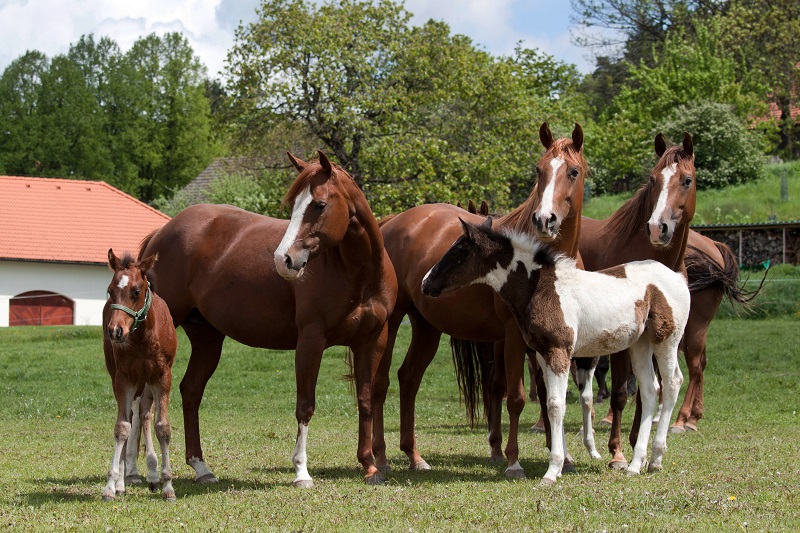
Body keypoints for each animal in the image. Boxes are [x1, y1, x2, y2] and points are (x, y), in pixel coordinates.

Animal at [102, 249, 177, 501]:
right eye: (110, 291)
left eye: (136, 292)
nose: (115, 331)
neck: (143, 337)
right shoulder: (124, 378)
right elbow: (122, 427)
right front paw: (111, 485)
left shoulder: (162, 376)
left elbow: (162, 427)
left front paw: (168, 486)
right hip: (130, 380)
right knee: (134, 416)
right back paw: (123, 481)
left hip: (147, 382)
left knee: (145, 414)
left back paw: (153, 475)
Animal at [138, 151, 397, 487]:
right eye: (292, 204)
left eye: (319, 205)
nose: (283, 260)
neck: (359, 274)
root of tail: (160, 234)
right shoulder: (311, 341)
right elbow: (305, 406)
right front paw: (301, 471)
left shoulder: (371, 341)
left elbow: (365, 401)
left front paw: (369, 466)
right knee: (143, 400)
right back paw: (138, 472)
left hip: (207, 339)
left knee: (190, 391)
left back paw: (200, 467)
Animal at [374, 123, 586, 479]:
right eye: (539, 170)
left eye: (573, 171)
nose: (545, 220)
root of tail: (392, 223)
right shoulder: (513, 337)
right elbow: (515, 397)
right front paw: (513, 461)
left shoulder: (550, 338)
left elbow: (548, 395)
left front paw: (563, 457)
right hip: (392, 322)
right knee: (380, 380)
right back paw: (380, 457)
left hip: (427, 327)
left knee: (409, 378)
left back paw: (415, 457)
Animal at [422, 218, 688, 485]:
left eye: (458, 252)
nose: (425, 283)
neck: (541, 286)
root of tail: (677, 277)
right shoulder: (543, 353)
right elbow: (551, 402)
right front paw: (561, 464)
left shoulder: (558, 351)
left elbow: (555, 405)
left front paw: (552, 471)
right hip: (640, 344)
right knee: (650, 390)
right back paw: (635, 463)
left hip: (666, 340)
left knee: (672, 383)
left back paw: (655, 458)